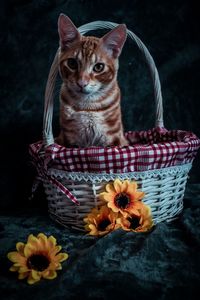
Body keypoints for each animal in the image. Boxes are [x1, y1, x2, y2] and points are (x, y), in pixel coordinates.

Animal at [55, 14, 128, 148]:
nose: (82, 83)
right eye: (72, 63)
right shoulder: (69, 140)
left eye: (98, 67)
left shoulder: (114, 139)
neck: (88, 106)